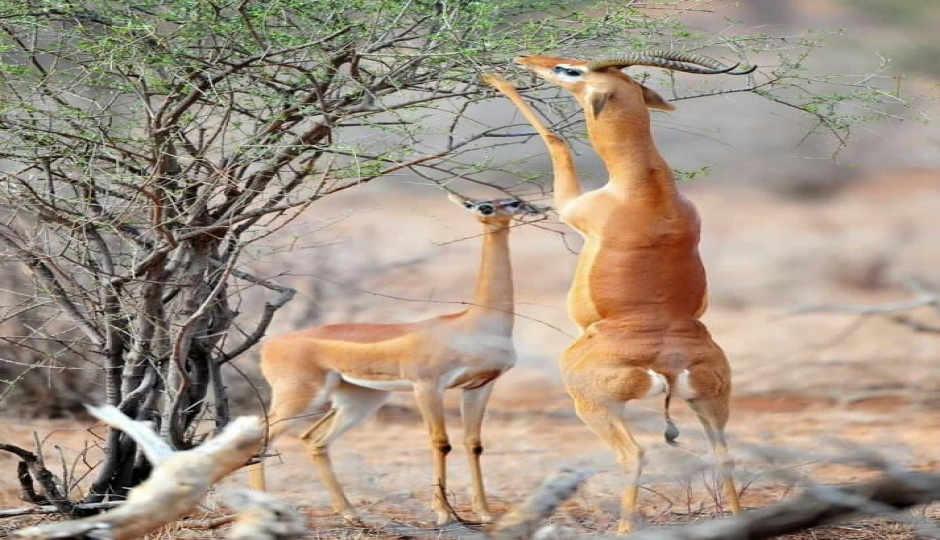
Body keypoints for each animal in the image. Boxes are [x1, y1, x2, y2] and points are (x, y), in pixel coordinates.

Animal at [246, 194, 548, 528]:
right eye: (483, 206)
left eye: (512, 201)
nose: (525, 207)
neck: (475, 324)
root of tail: (270, 345)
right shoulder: (428, 386)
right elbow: (440, 442)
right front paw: (443, 513)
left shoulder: (479, 386)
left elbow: (474, 444)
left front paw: (484, 512)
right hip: (299, 397)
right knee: (262, 436)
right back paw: (262, 511)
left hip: (359, 400)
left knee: (314, 439)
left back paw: (352, 515)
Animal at [484, 50, 756, 532]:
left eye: (571, 70)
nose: (526, 56)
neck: (644, 183)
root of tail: (666, 362)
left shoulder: (571, 207)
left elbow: (556, 139)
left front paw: (494, 77)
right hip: (712, 400)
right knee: (723, 453)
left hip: (593, 404)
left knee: (633, 453)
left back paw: (626, 526)